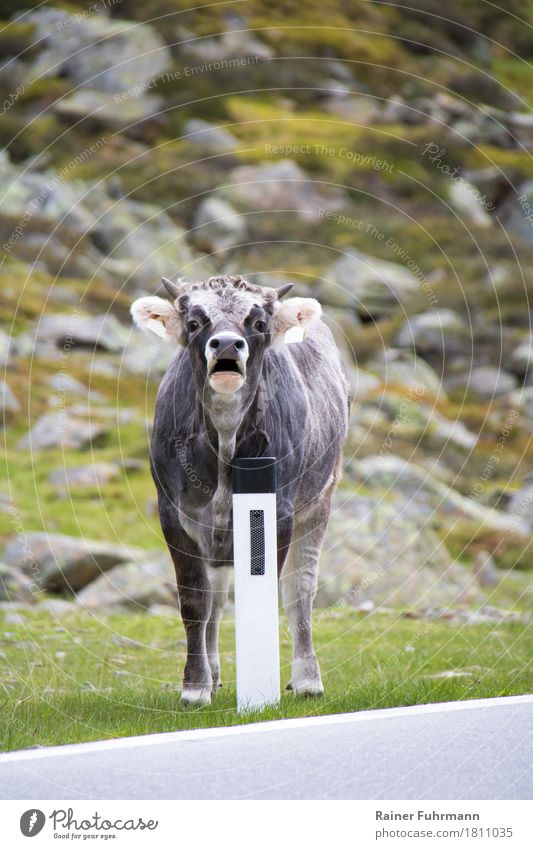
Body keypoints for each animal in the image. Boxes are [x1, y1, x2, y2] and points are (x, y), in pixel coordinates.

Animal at [130, 274, 350, 704]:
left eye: (259, 323)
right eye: (194, 322)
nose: (229, 344)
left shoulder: (278, 512)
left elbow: (273, 594)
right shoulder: (173, 515)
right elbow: (196, 601)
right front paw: (196, 687)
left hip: (320, 499)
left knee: (301, 589)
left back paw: (308, 680)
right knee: (216, 599)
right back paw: (214, 674)